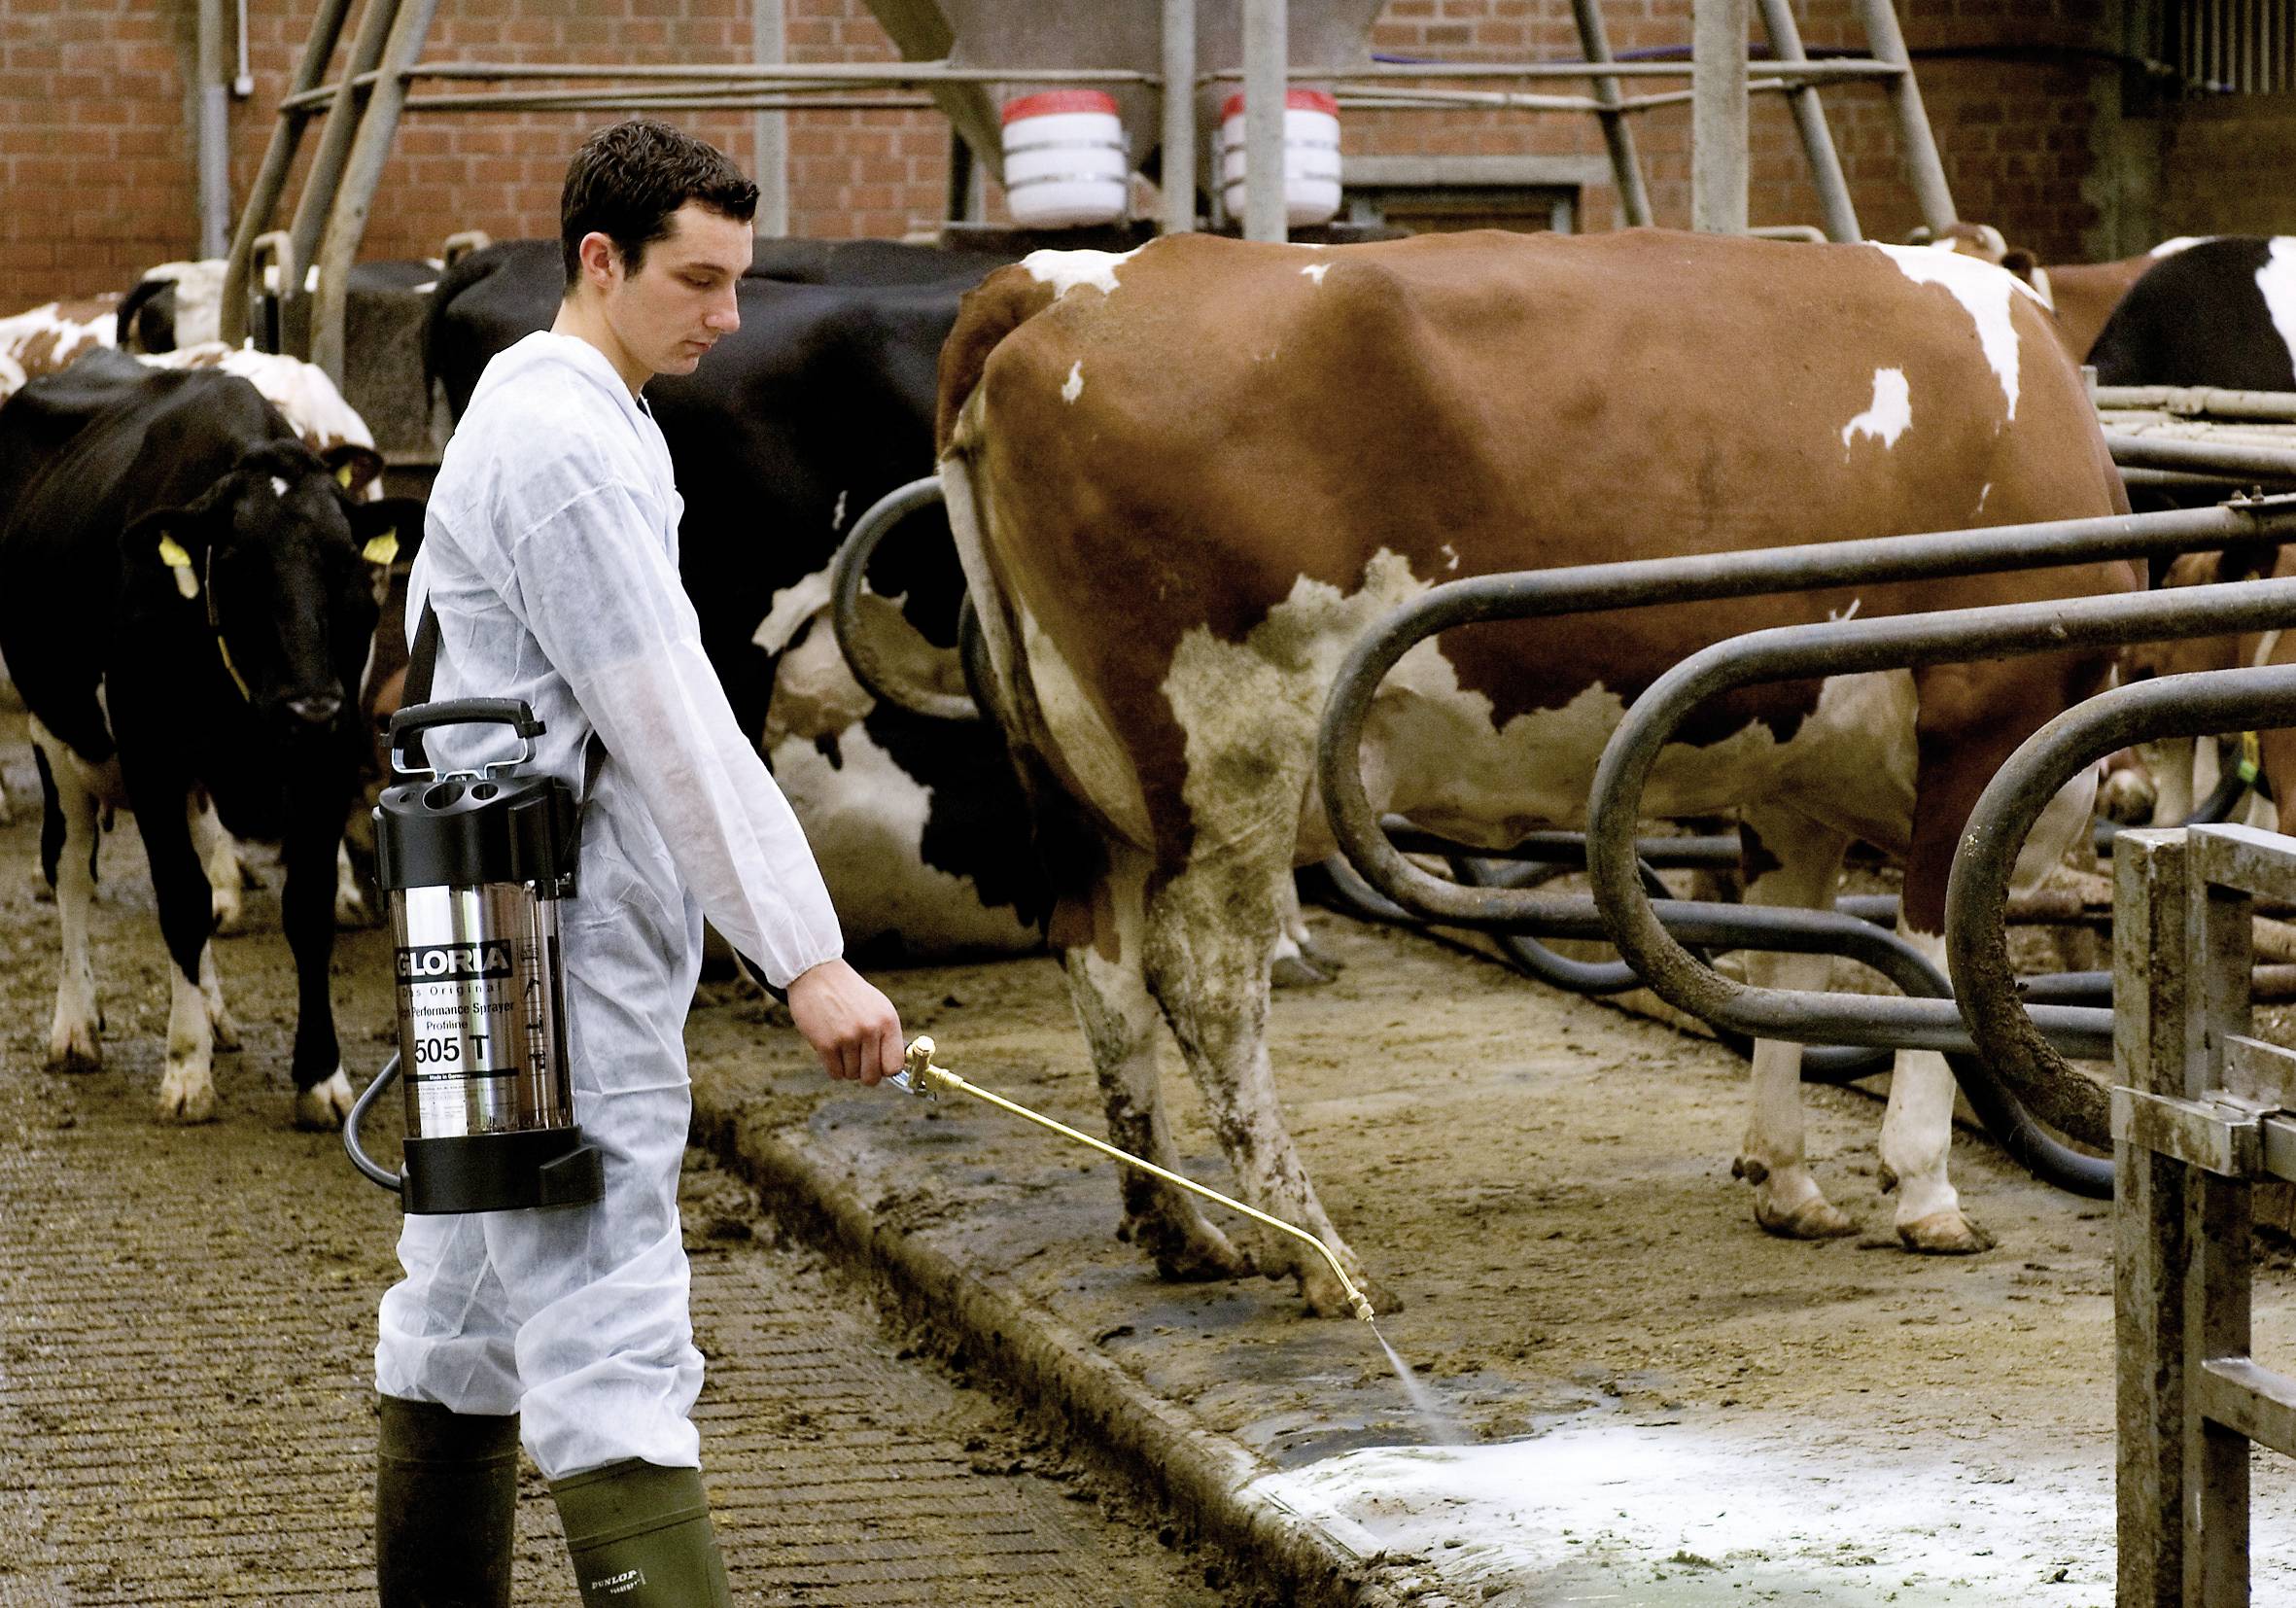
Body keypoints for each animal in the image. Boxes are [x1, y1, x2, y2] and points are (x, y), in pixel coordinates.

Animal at [0, 349, 421, 1126]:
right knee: (69, 869)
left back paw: (219, 1015)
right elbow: (182, 903)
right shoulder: (151, 757)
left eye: (346, 563)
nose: (310, 706)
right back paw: (77, 1025)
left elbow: (306, 905)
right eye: (236, 565)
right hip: (54, 735)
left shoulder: (327, 754)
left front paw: (321, 1077)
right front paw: (185, 1069)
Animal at [916, 228, 2134, 1314]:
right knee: (1207, 979)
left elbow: (1784, 956)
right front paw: (1924, 1190)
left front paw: (1786, 1177)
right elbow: (1933, 958)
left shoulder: (1791, 776)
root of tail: (1072, 278)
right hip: (1229, 751)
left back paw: (1180, 1227)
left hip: (1085, 777)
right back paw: (1316, 1250)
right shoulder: (1985, 717)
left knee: (1102, 966)